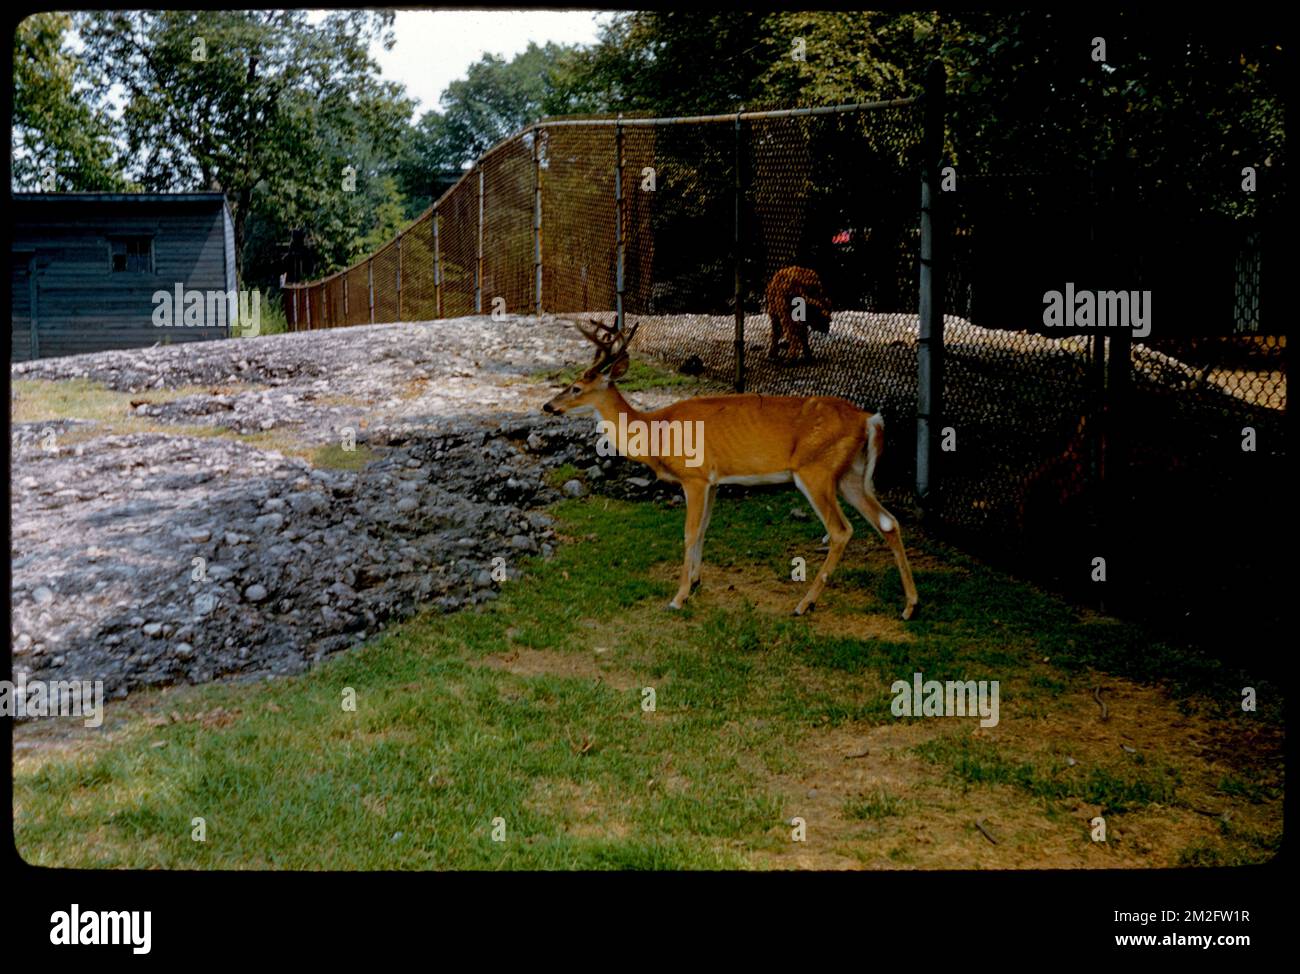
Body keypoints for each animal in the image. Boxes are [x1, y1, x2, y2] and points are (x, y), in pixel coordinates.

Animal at [541, 319, 919, 620]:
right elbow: (704, 530)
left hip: (817, 471)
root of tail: (870, 419)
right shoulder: (713, 481)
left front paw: (678, 597)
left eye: (576, 387)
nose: (548, 405)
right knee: (888, 522)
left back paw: (804, 604)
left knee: (841, 530)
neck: (656, 432)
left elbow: (690, 532)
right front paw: (695, 583)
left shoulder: (694, 476)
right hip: (852, 474)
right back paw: (909, 606)